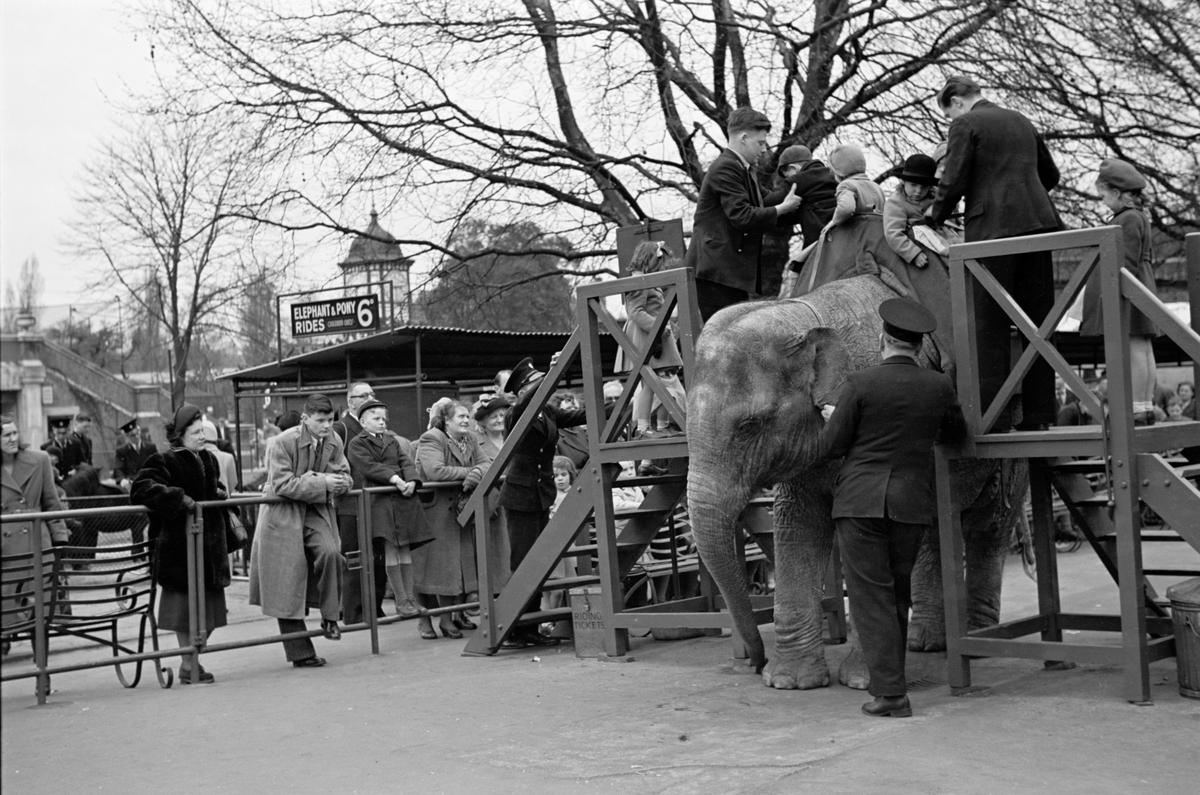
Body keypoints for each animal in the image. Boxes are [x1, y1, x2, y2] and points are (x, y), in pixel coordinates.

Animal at [691, 273, 1027, 691]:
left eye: (750, 425)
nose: (752, 663)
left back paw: (978, 641)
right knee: (934, 530)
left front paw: (860, 682)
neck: (807, 313)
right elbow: (798, 525)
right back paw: (924, 642)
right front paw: (790, 682)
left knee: (990, 526)